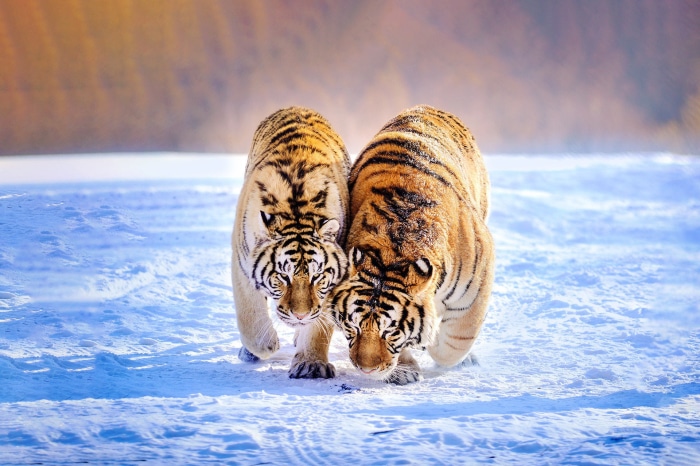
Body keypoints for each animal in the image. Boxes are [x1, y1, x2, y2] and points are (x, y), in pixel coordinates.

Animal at [231, 106, 350, 379]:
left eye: (317, 277)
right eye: (282, 276)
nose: (300, 315)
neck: (296, 211)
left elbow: (319, 327)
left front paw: (311, 364)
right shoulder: (241, 262)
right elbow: (249, 314)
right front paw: (265, 345)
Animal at [327, 105, 494, 385]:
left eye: (390, 331)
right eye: (354, 325)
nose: (365, 369)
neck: (394, 251)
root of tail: (428, 107)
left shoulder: (478, 281)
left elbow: (458, 338)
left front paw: (436, 345)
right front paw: (404, 370)